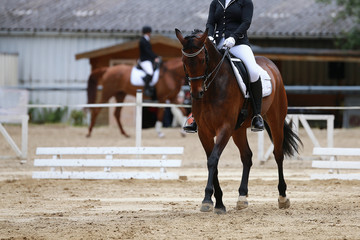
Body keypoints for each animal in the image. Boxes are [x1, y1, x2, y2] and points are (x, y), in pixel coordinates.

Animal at [176, 28, 302, 214]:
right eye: (184, 61)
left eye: (202, 60)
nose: (197, 93)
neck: (213, 89)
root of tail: (271, 64)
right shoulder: (205, 132)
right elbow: (212, 162)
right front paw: (219, 202)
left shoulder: (225, 128)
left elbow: (213, 160)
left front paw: (207, 199)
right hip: (239, 129)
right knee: (247, 156)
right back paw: (242, 197)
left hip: (275, 120)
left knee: (278, 154)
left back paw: (282, 197)